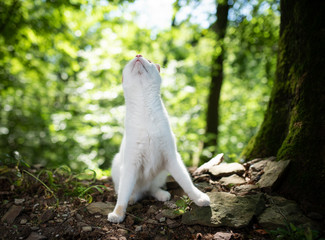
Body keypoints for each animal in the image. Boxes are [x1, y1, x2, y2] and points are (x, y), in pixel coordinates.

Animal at [107, 54, 210, 223]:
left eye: (148, 60)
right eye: (130, 61)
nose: (138, 55)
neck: (145, 111)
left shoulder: (172, 157)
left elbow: (186, 182)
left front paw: (199, 198)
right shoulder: (131, 164)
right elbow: (122, 195)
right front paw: (118, 214)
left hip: (161, 174)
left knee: (152, 189)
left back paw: (162, 194)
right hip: (117, 165)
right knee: (129, 191)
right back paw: (133, 198)